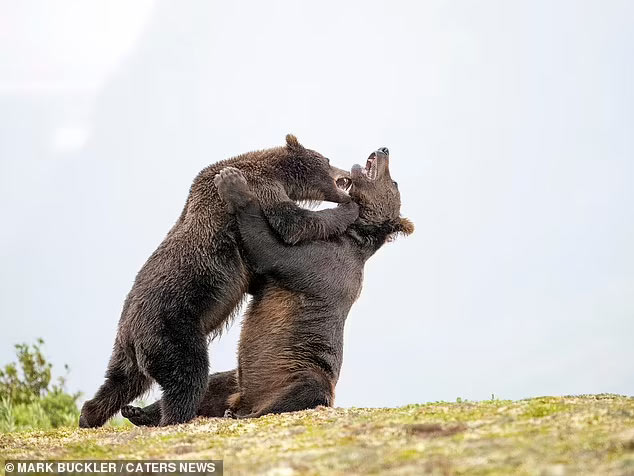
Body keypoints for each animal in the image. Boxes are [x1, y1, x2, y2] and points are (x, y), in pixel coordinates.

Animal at [76, 135, 358, 428]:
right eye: (327, 159)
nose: (348, 174)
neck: (278, 173)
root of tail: (130, 332)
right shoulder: (264, 189)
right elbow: (294, 223)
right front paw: (349, 209)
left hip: (128, 348)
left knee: (120, 381)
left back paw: (91, 415)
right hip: (172, 327)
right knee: (187, 374)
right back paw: (175, 417)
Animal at [121, 146, 412, 424]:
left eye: (394, 182)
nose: (384, 149)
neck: (353, 237)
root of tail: (246, 401)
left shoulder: (319, 262)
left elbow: (271, 247)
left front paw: (234, 185)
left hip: (301, 370)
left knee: (303, 389)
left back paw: (235, 414)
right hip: (235, 379)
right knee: (212, 383)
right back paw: (139, 411)